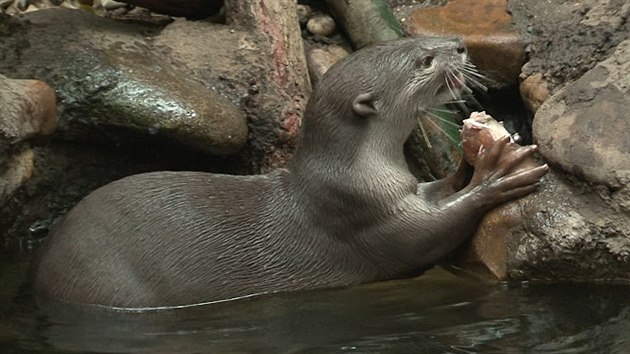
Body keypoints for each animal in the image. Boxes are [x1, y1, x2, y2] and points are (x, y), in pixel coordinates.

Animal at [32, 37, 552, 308]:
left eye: (411, 41)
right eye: (423, 60)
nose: (459, 46)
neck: (357, 174)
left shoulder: (403, 189)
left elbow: (439, 189)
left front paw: (472, 158)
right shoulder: (361, 216)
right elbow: (428, 234)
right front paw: (496, 172)